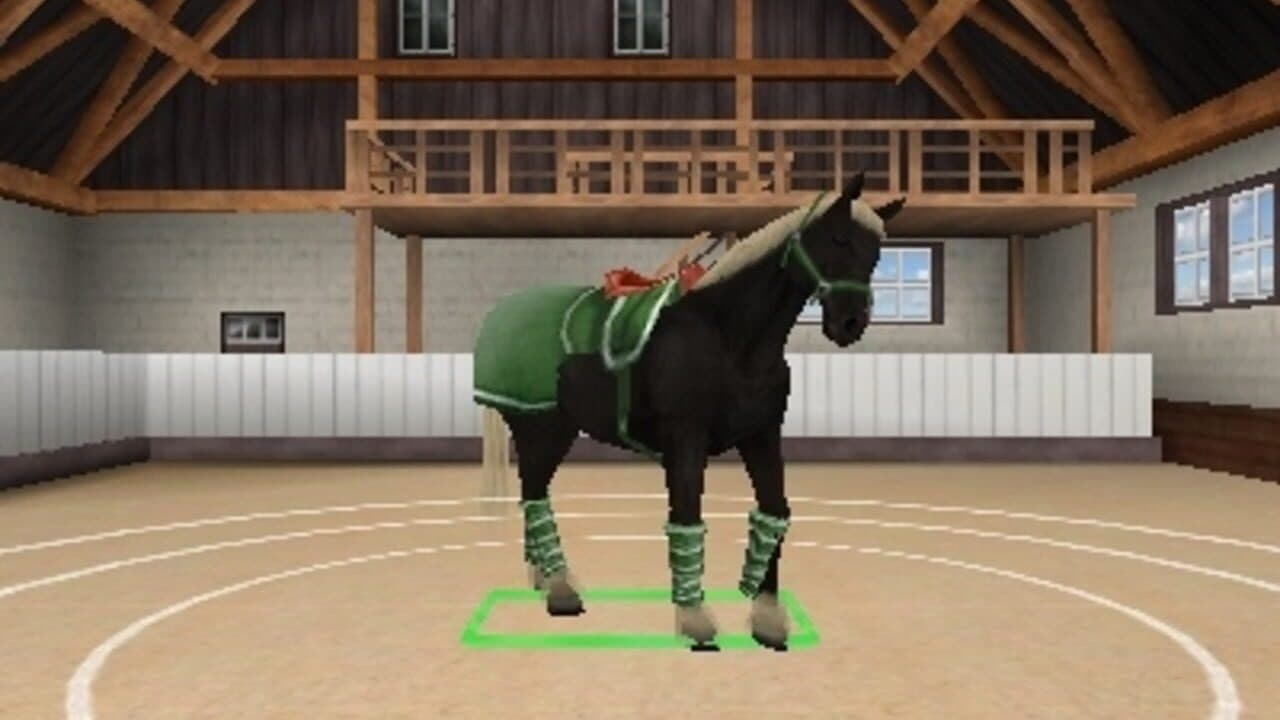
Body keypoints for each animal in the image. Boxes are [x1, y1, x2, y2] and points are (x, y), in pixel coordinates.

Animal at [473, 172, 903, 650]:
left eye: (877, 252)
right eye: (839, 238)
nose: (849, 325)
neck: (729, 338)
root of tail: (501, 313)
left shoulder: (763, 434)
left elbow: (773, 511)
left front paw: (768, 619)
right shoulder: (685, 439)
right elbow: (687, 517)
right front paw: (694, 618)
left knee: (534, 495)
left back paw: (546, 579)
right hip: (541, 428)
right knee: (533, 497)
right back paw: (561, 591)